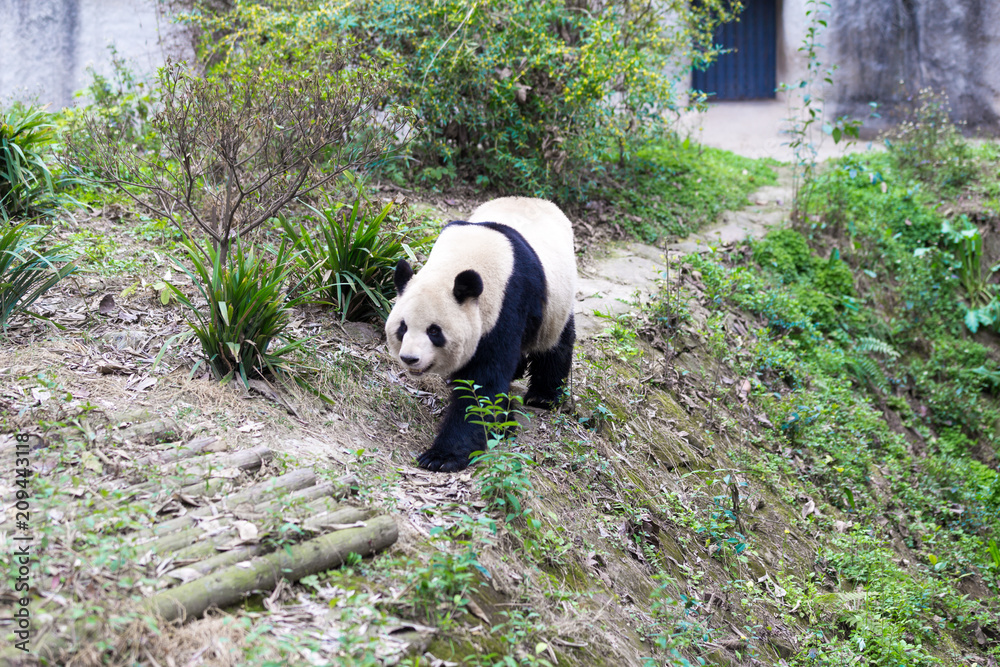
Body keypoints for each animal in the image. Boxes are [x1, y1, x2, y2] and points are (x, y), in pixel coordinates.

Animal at [386, 196, 584, 472]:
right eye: (402, 327)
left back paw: (543, 396)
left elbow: (483, 383)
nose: (410, 359)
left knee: (555, 345)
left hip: (555, 305)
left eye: (434, 331)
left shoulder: (508, 302)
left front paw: (441, 457)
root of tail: (538, 200)